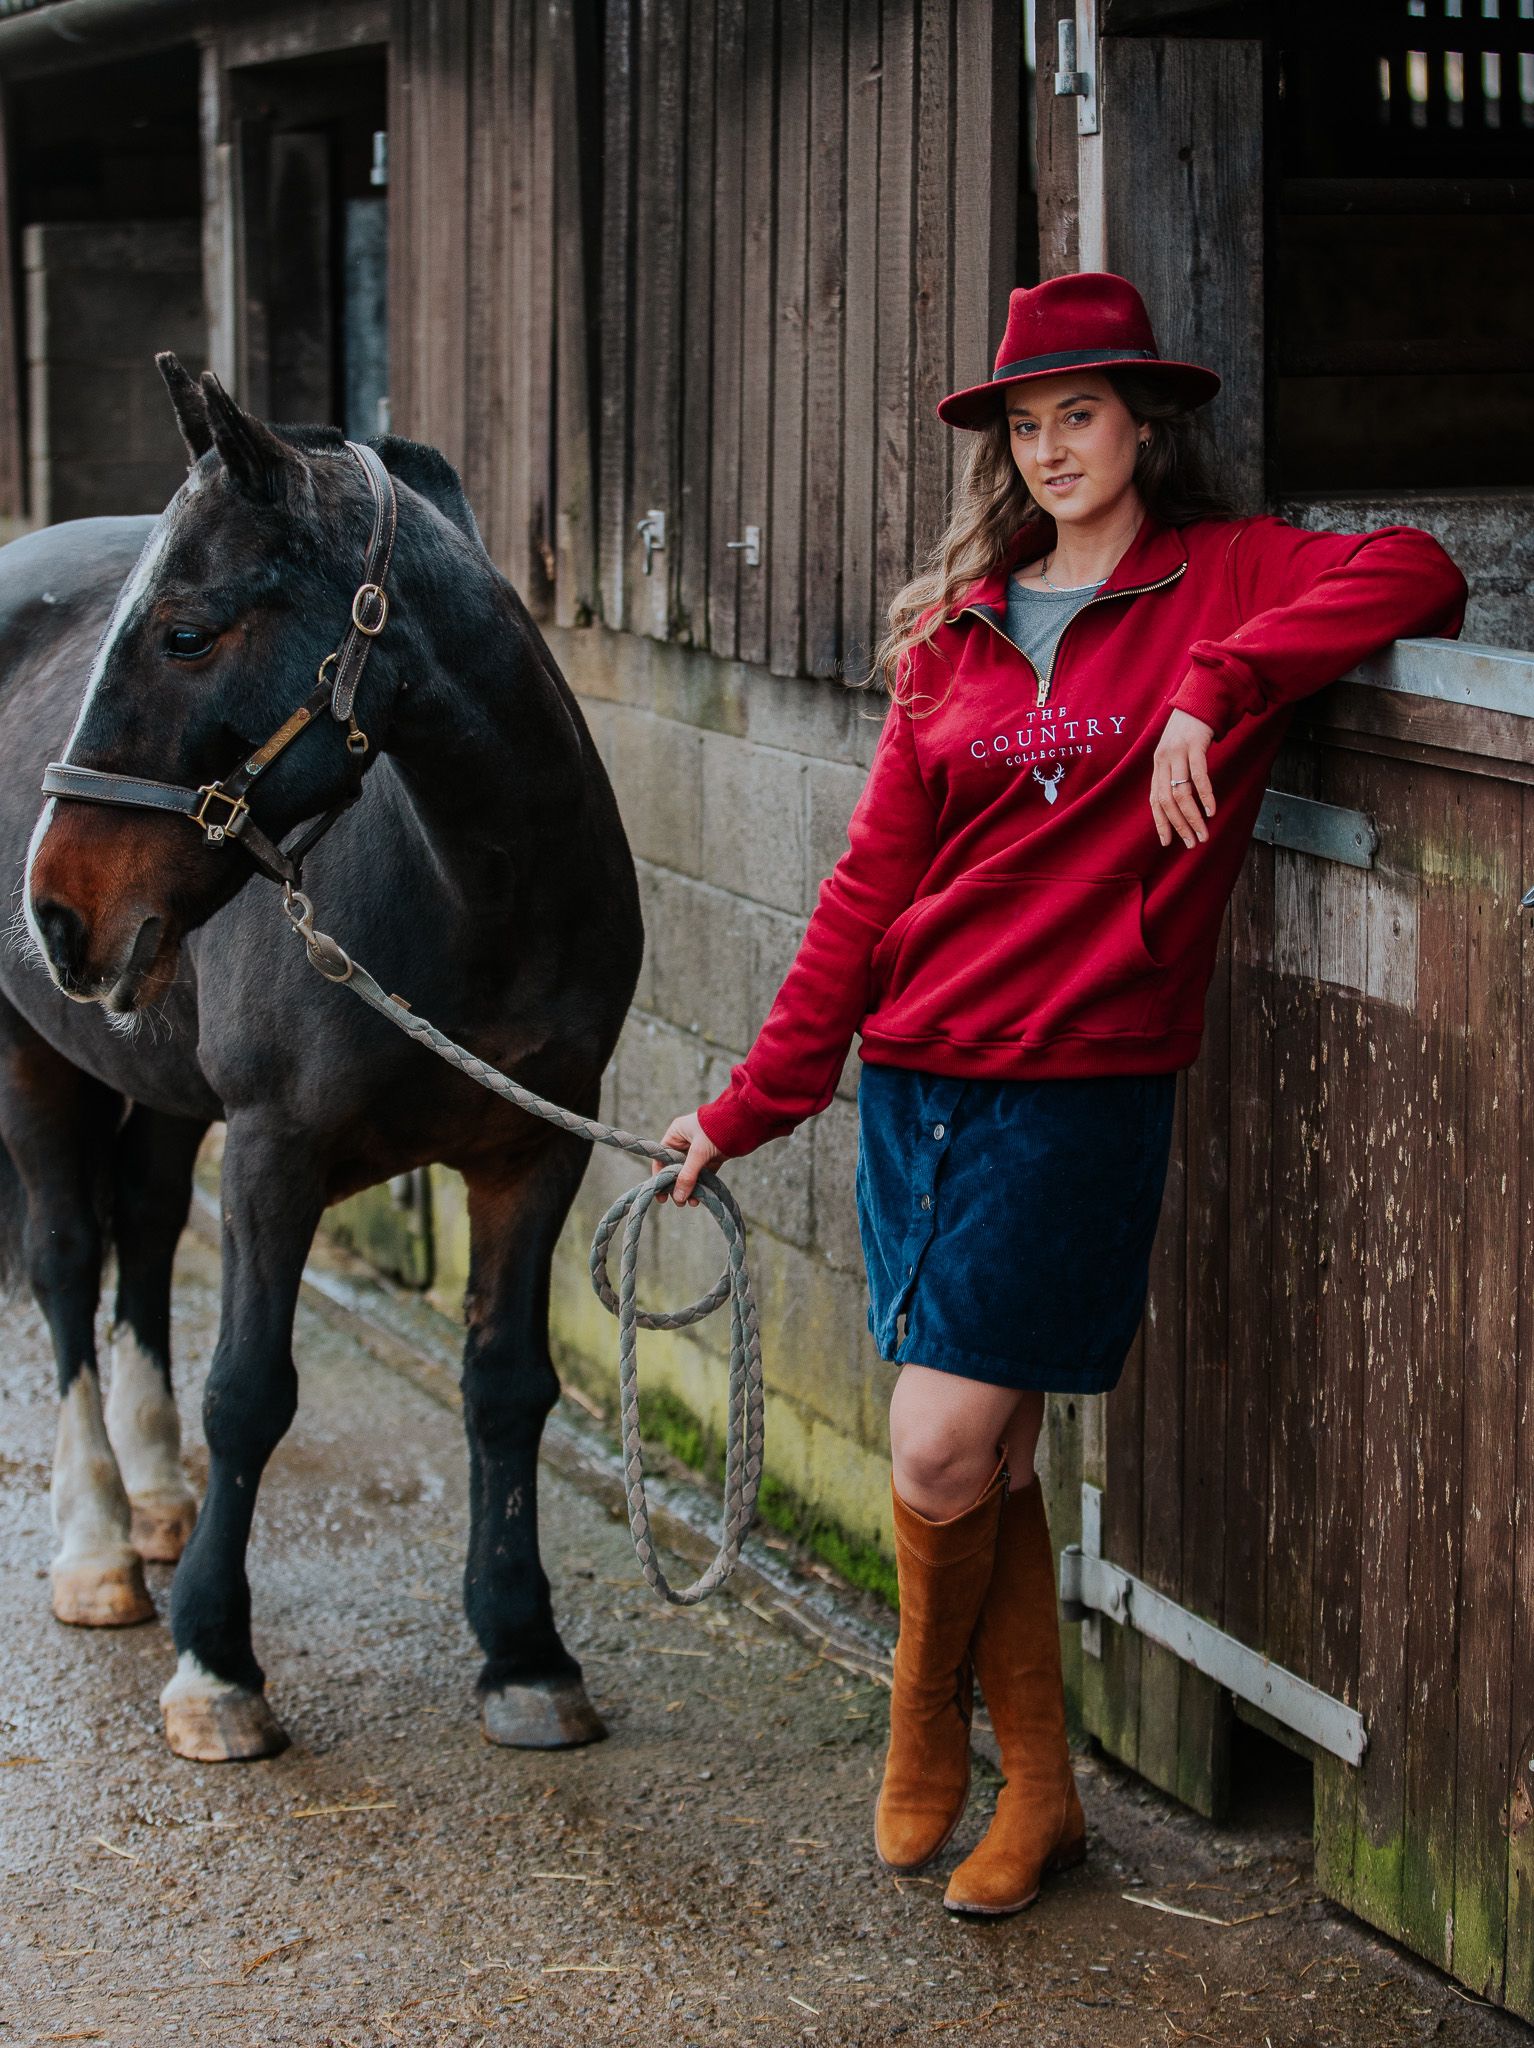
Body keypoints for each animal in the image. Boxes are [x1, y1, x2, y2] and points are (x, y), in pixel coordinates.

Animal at [0, 356, 638, 1761]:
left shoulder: (539, 1147)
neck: (472, 897)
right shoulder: (275, 1154)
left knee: (142, 1225)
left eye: (186, 633)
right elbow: (250, 1392)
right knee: (67, 1259)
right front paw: (215, 1667)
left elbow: (507, 1385)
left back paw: (157, 1498)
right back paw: (97, 1544)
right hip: (33, 1051)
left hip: (159, 1069)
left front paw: (524, 1649)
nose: (55, 911)